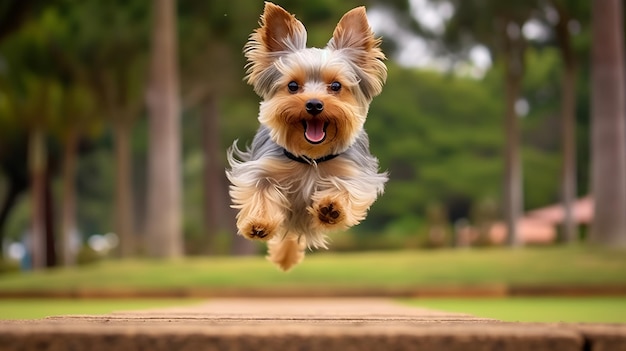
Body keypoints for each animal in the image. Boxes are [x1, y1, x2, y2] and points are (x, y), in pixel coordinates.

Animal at [227, 2, 388, 270]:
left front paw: (331, 208)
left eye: (336, 86)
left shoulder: (356, 172)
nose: (314, 104)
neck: (311, 157)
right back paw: (284, 257)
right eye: (293, 86)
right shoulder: (261, 167)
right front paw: (258, 223)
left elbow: (347, 188)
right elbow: (261, 190)